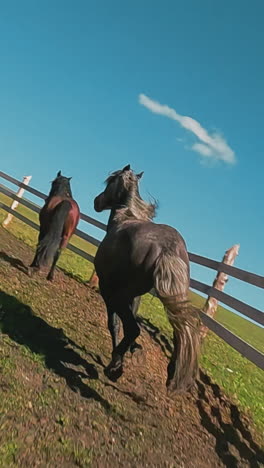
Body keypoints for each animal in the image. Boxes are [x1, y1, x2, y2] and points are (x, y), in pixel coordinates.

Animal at [94, 165, 200, 392]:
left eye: (109, 182)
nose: (97, 201)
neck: (125, 217)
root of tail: (167, 248)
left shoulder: (109, 291)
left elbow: (114, 324)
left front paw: (118, 362)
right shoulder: (135, 296)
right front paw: (132, 351)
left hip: (117, 295)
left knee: (133, 329)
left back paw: (114, 367)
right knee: (179, 333)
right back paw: (171, 373)